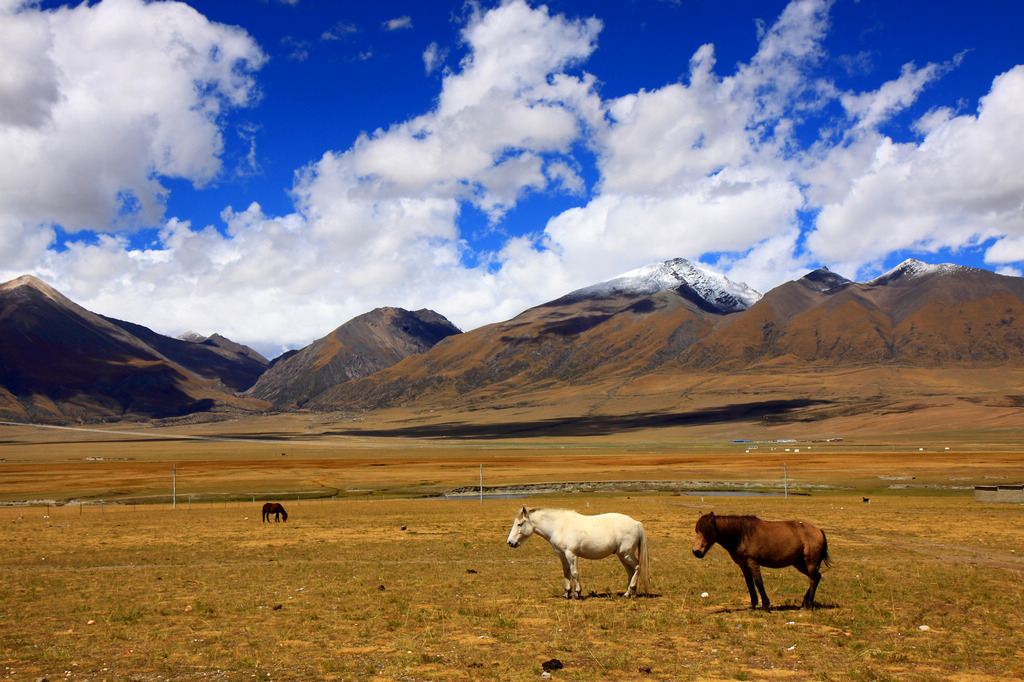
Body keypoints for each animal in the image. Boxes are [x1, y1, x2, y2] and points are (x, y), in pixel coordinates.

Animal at [507, 503, 651, 593]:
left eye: (520, 524)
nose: (510, 542)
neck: (559, 526)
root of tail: (636, 523)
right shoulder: (562, 555)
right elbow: (566, 573)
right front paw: (566, 593)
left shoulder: (571, 554)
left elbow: (574, 573)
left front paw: (577, 593)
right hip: (622, 556)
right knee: (630, 571)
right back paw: (629, 592)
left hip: (626, 554)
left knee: (637, 567)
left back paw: (629, 591)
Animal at [692, 509, 827, 610]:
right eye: (697, 531)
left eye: (707, 532)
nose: (696, 551)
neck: (741, 535)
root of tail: (819, 530)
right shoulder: (743, 565)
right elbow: (749, 583)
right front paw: (752, 605)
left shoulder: (753, 563)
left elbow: (758, 582)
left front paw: (765, 605)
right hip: (799, 564)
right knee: (817, 577)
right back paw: (804, 603)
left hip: (810, 563)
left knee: (813, 579)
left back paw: (807, 605)